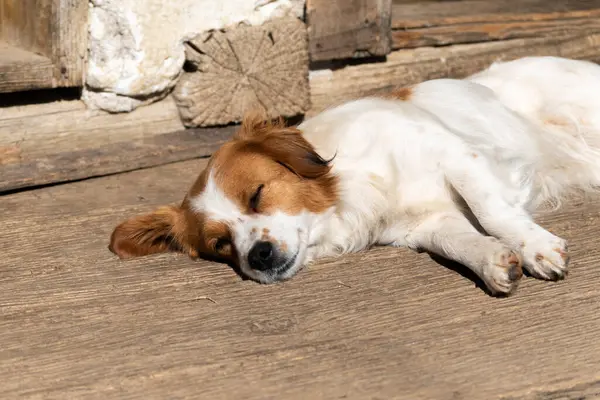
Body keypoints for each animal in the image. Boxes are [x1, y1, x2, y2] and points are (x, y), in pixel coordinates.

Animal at [110, 56, 600, 296]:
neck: (355, 189)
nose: (258, 256)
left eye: (257, 194)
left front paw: (536, 248)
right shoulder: (426, 225)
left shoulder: (459, 154)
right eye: (220, 245)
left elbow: (493, 212)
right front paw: (494, 261)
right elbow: (461, 242)